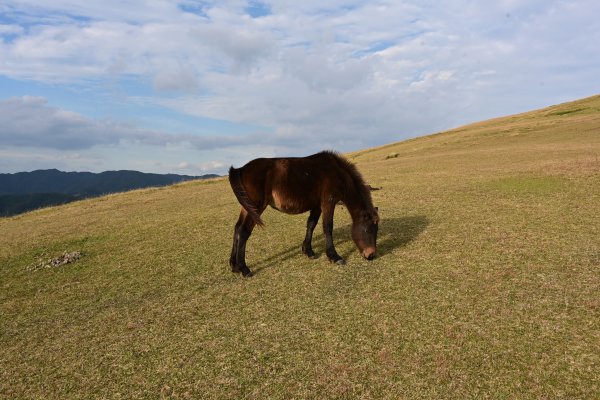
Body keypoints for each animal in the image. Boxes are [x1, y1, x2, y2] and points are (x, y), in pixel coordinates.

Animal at [227, 149, 378, 276]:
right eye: (368, 229)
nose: (371, 255)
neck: (337, 172)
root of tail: (241, 169)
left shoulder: (317, 206)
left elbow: (311, 224)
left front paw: (308, 251)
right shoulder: (328, 203)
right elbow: (328, 227)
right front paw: (334, 257)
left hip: (247, 208)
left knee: (237, 228)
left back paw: (234, 266)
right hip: (256, 207)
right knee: (244, 231)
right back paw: (244, 269)